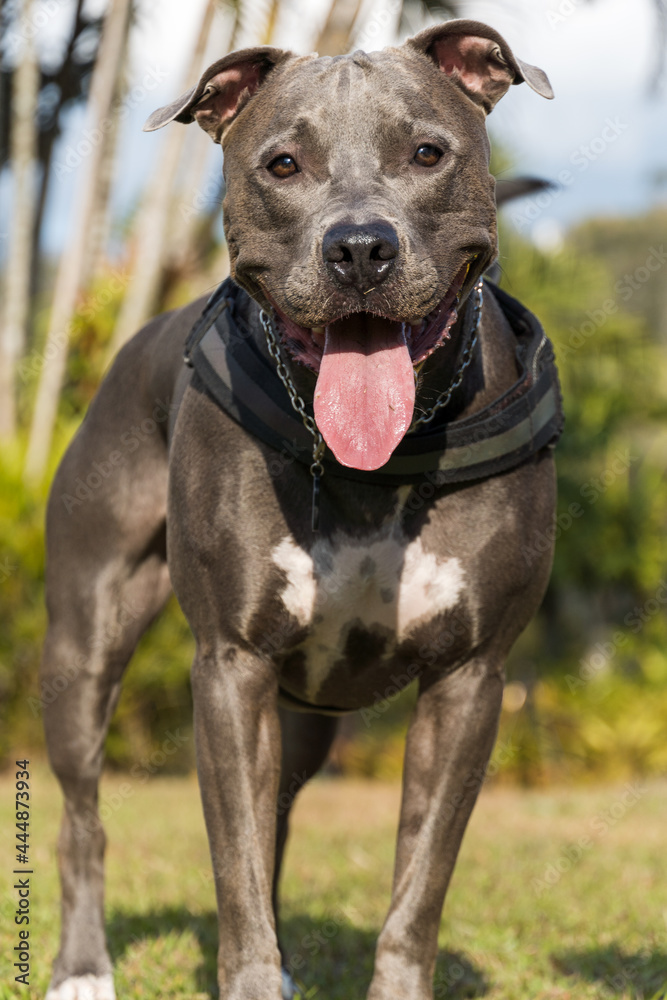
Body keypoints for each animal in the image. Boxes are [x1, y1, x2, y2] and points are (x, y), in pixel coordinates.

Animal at [43, 19, 560, 1000]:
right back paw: (82, 967)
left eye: (426, 153)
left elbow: (414, 890)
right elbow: (234, 870)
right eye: (282, 164)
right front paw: (247, 973)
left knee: (275, 816)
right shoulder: (229, 667)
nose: (359, 247)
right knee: (86, 818)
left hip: (306, 718)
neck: (376, 467)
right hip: (85, 644)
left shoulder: (468, 682)